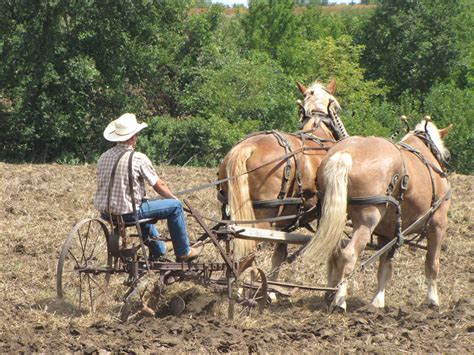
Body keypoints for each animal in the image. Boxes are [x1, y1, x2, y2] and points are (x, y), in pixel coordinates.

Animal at [217, 79, 346, 280]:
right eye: (337, 107)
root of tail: (247, 147)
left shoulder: (284, 222)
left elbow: (279, 255)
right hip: (262, 217)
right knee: (249, 252)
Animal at [306, 119, 454, 312]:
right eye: (447, 156)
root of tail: (345, 154)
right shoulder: (438, 224)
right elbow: (432, 263)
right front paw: (432, 300)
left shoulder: (387, 233)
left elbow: (384, 267)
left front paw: (377, 301)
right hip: (367, 221)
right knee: (347, 255)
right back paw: (339, 300)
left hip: (332, 216)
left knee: (335, 253)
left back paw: (330, 293)